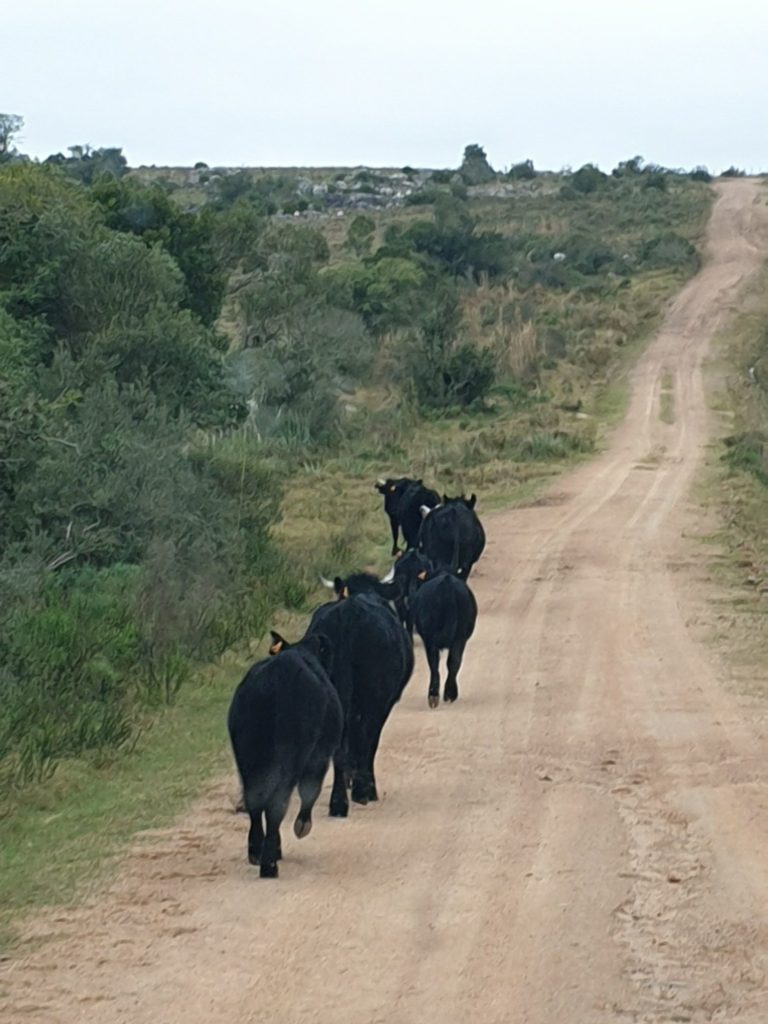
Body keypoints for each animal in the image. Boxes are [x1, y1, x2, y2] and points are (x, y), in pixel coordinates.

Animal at [225, 634, 339, 876]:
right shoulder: (321, 756)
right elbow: (310, 791)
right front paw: (302, 825)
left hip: (248, 758)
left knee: (255, 801)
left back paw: (256, 852)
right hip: (289, 760)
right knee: (277, 804)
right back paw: (269, 863)